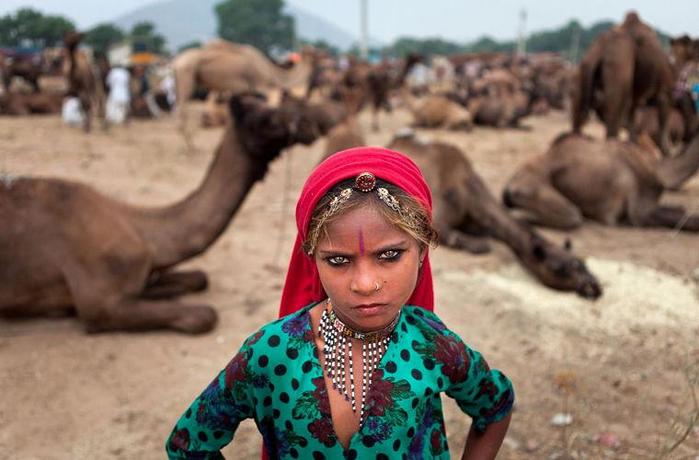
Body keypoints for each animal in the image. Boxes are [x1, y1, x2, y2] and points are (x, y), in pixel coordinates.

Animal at [0, 91, 322, 332]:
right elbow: (204, 315)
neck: (142, 231)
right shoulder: (100, 303)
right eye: (263, 119)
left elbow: (198, 278)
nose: (309, 124)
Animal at [382, 131, 600, 300]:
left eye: (581, 263)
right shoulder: (436, 221)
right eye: (560, 269)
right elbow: (476, 244)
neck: (469, 193)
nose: (594, 287)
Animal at [504, 130, 699, 230]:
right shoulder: (638, 213)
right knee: (572, 215)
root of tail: (509, 185)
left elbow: (681, 211)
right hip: (532, 186)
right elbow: (687, 219)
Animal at [572, 12, 676, 155]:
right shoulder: (663, 88)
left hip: (585, 70)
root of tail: (601, 50)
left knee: (579, 117)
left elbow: (632, 116)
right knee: (612, 120)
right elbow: (662, 108)